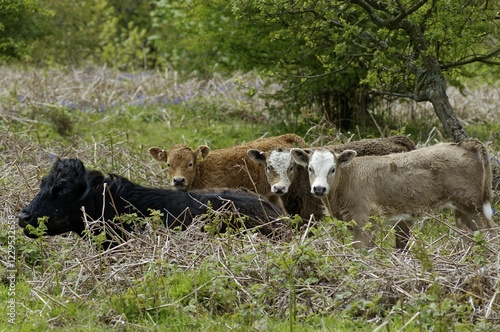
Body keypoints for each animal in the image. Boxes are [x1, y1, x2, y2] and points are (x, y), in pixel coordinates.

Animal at [147, 134, 304, 209]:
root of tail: (282, 137)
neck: (201, 172)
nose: (179, 180)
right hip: (272, 195)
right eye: (168, 164)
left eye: (190, 164)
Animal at [290, 138, 496, 249]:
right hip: (462, 211)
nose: (319, 189)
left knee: (490, 233)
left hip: (474, 207)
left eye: (332, 169)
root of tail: (464, 144)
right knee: (470, 235)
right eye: (310, 168)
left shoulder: (363, 220)